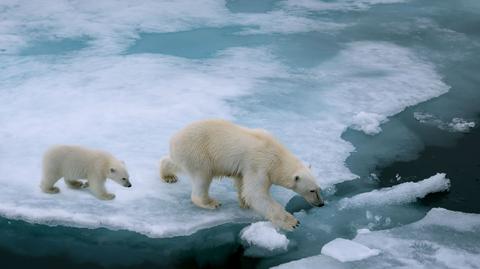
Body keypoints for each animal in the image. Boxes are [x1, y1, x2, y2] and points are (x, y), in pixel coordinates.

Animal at [159, 119, 324, 228]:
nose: (321, 204)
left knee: (175, 162)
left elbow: (242, 183)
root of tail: (174, 139)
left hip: (185, 154)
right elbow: (256, 194)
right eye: (312, 190)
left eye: (319, 189)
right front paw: (292, 222)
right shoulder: (260, 164)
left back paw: (168, 175)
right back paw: (211, 202)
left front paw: (244, 203)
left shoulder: (247, 167)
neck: (276, 155)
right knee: (203, 177)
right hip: (198, 153)